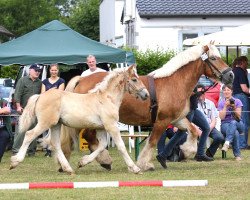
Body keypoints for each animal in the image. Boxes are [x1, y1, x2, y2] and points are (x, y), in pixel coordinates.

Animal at [61, 43, 234, 171]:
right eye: (213, 58)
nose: (230, 75)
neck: (174, 82)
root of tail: (81, 79)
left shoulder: (176, 119)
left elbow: (192, 131)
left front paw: (185, 152)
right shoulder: (162, 121)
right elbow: (152, 142)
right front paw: (144, 163)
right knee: (89, 137)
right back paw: (104, 160)